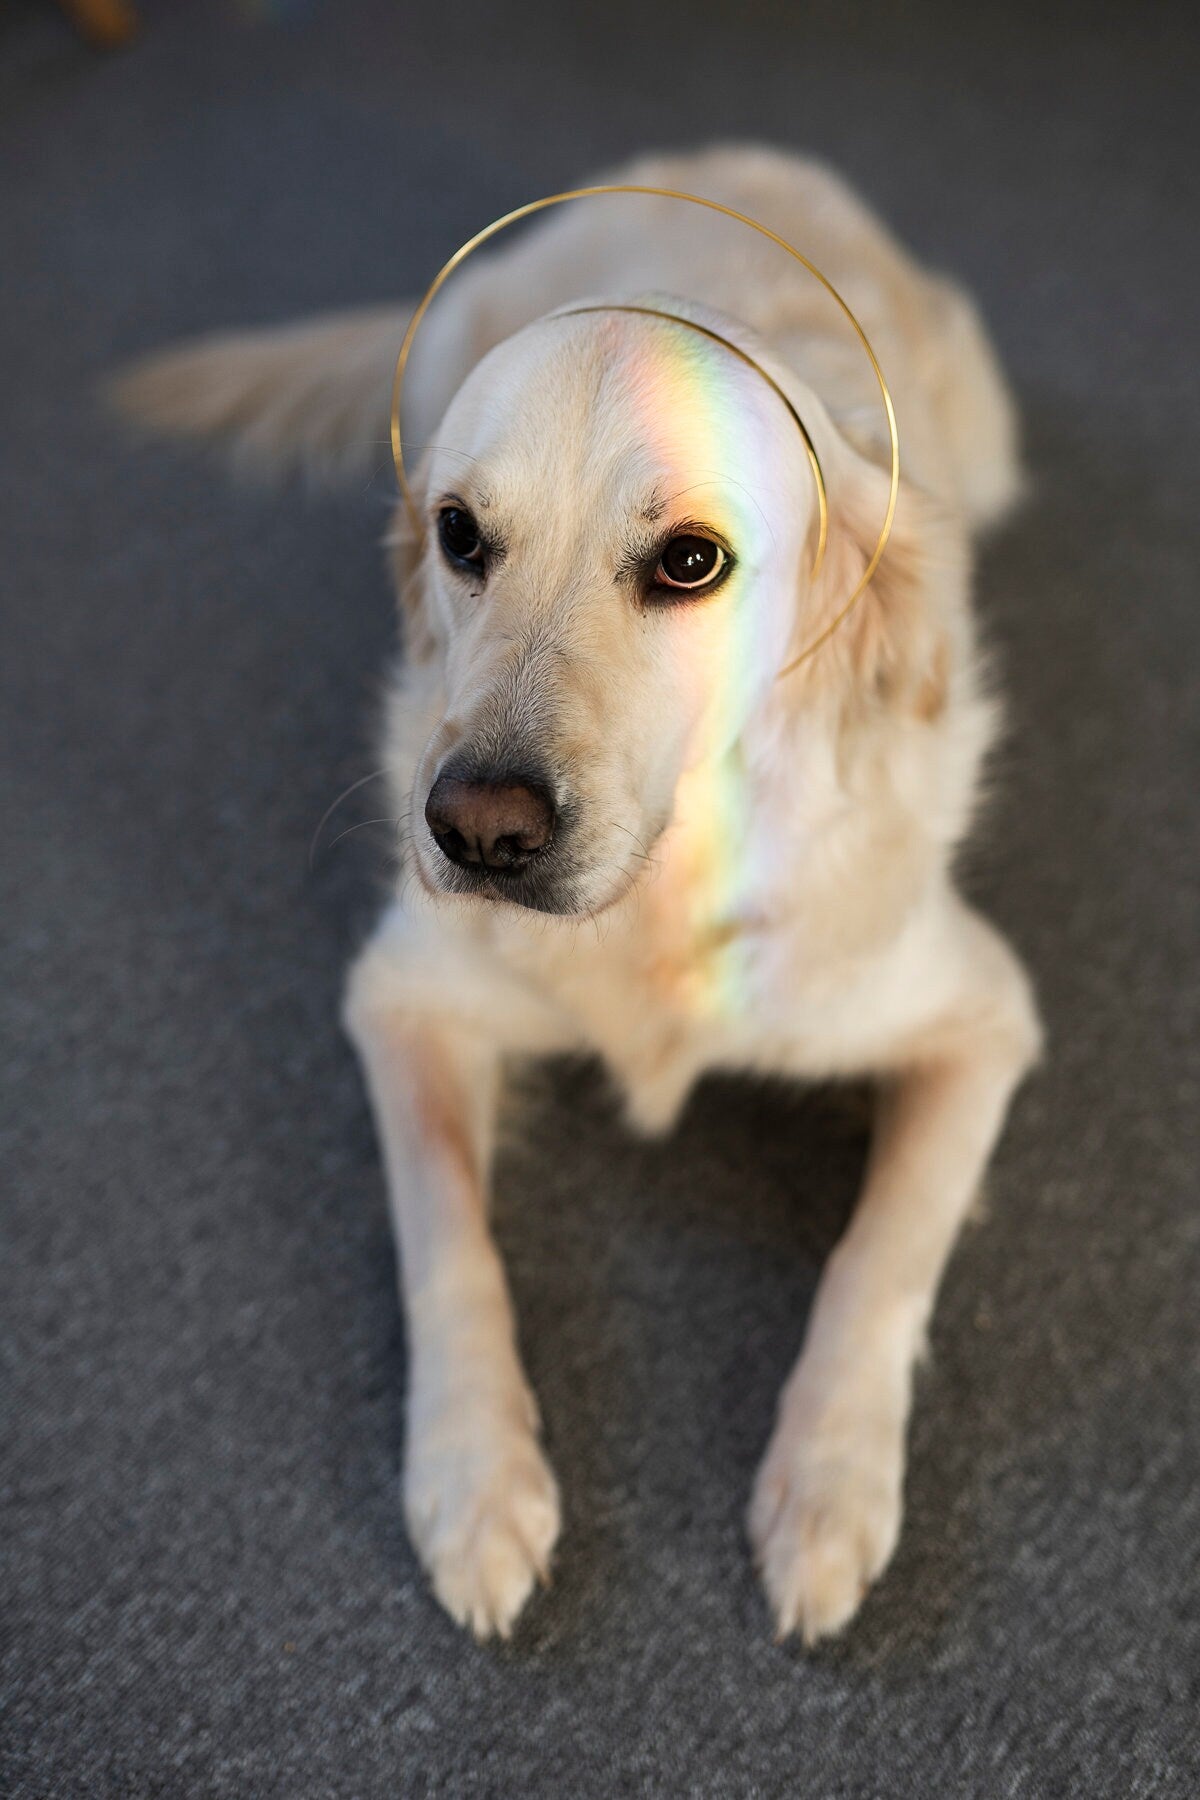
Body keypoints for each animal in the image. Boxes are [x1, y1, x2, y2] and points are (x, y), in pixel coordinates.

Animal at [115, 144, 1043, 1648]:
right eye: (460, 535)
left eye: (689, 561)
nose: (475, 830)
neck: (654, 905)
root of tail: (721, 158)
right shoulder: (401, 1000)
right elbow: (447, 1238)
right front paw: (474, 1478)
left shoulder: (982, 1018)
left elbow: (883, 1253)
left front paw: (828, 1487)